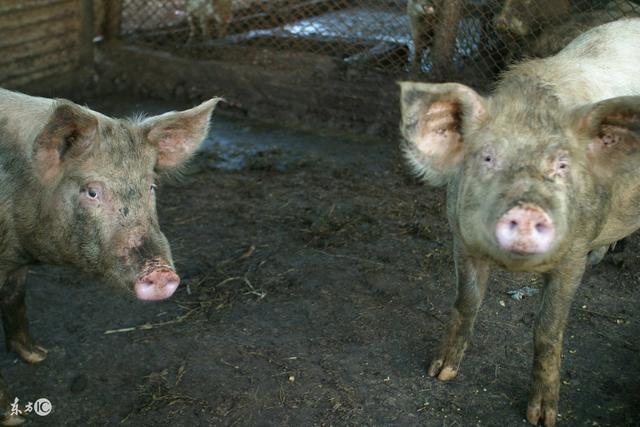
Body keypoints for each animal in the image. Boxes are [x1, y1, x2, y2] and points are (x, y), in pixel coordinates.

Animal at [0, 89, 222, 424]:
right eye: (92, 192)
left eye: (151, 186)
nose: (160, 272)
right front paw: (15, 418)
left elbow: (16, 298)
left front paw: (38, 356)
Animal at [400, 18, 640, 426]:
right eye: (487, 158)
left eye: (562, 165)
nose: (527, 208)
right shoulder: (460, 238)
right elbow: (466, 301)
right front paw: (440, 372)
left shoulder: (572, 256)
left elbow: (547, 329)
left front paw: (541, 417)